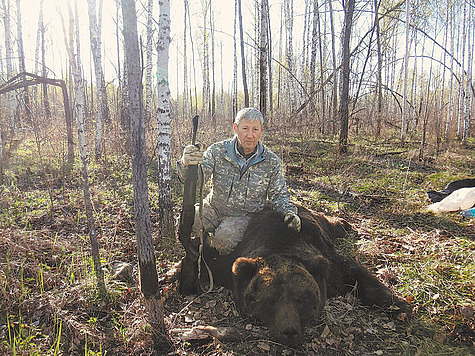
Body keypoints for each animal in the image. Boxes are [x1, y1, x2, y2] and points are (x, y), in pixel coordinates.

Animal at [180, 206, 410, 344]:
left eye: (303, 299)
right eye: (269, 300)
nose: (289, 331)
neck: (280, 248)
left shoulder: (330, 266)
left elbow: (359, 274)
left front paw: (400, 308)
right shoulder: (227, 265)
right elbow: (204, 257)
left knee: (330, 224)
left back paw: (344, 224)